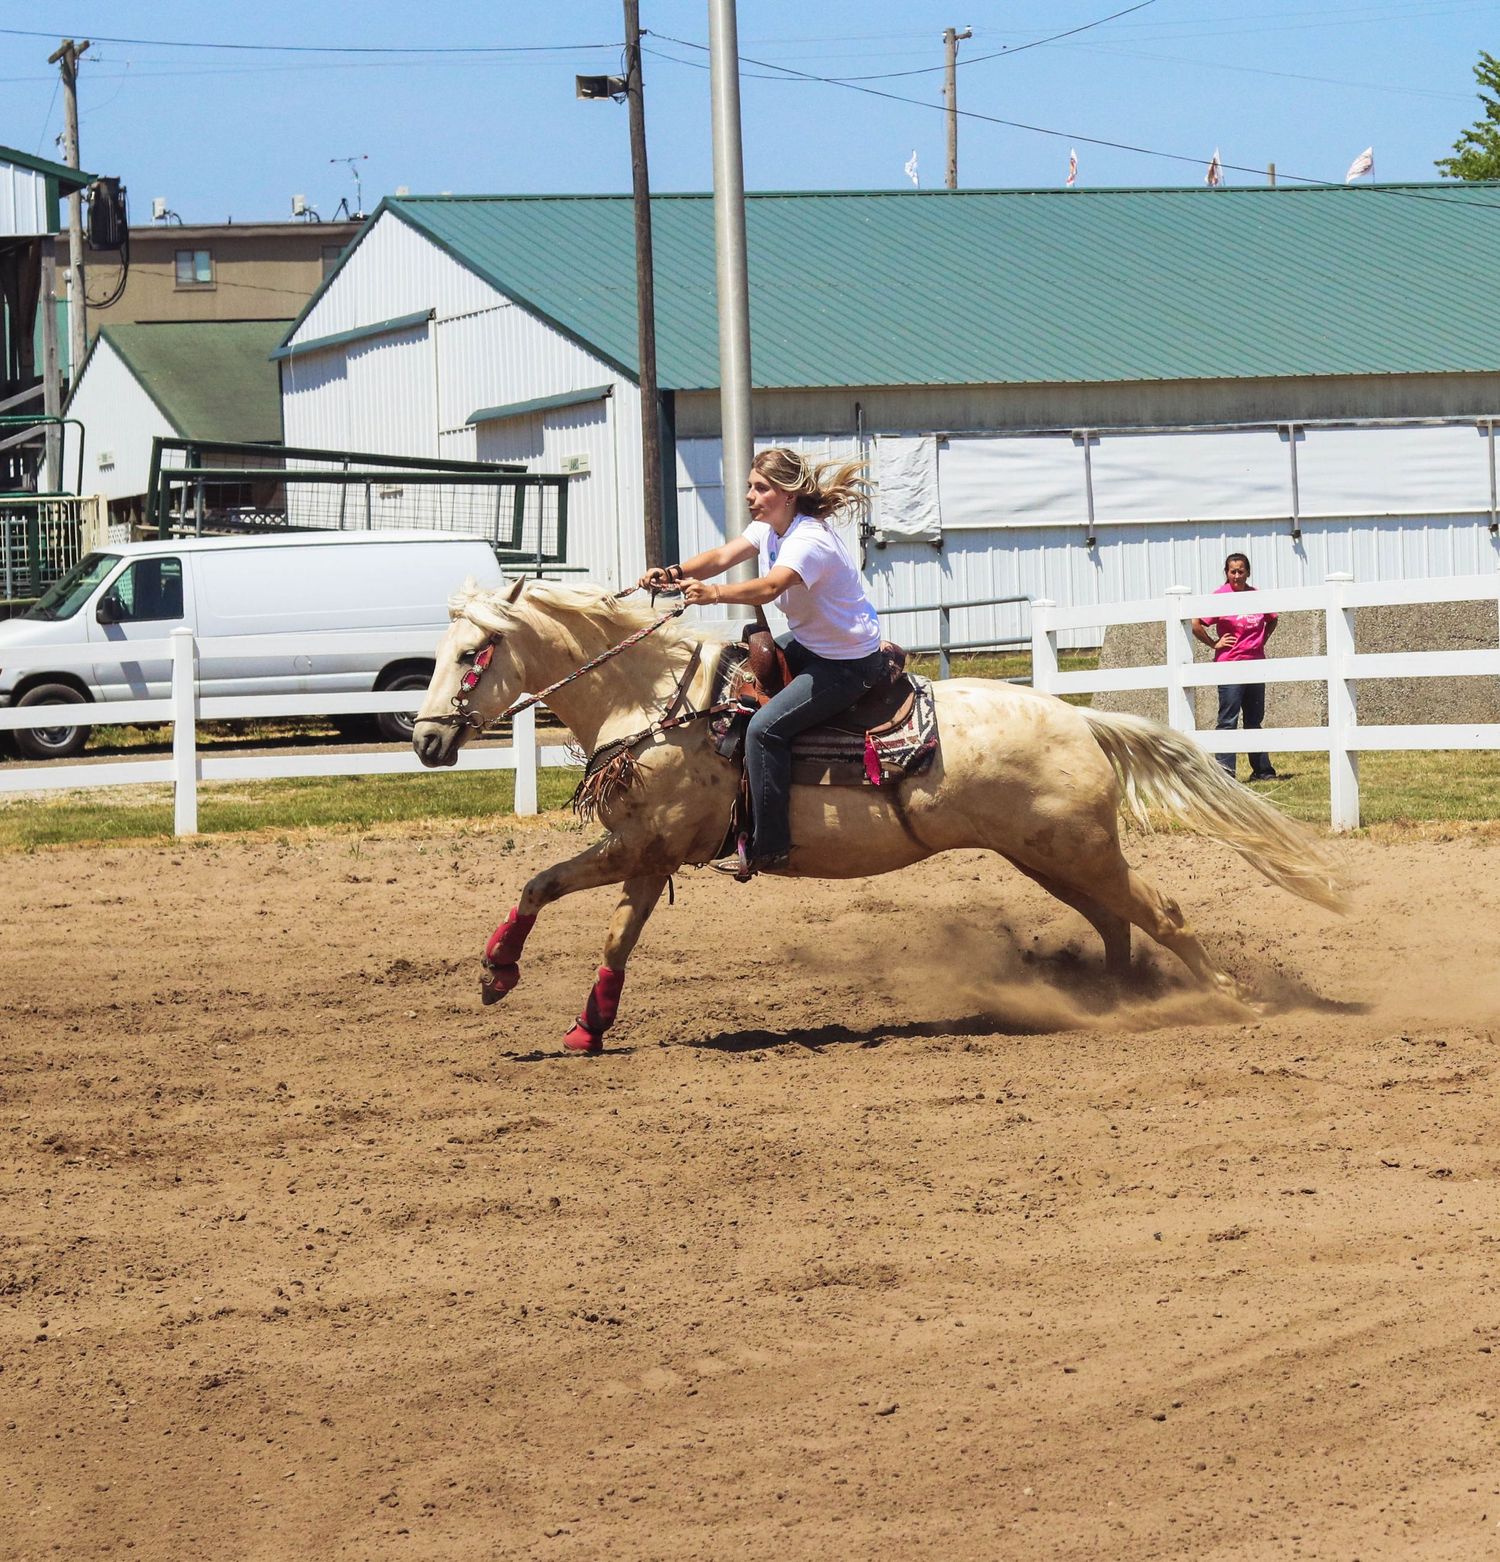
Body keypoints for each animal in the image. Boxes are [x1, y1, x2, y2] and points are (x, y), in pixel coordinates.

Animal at [412, 578, 1347, 1054]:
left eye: (473, 653)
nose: (424, 740)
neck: (657, 700)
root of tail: (1080, 718)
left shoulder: (643, 845)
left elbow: (550, 892)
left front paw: (506, 978)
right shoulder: (649, 853)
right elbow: (599, 929)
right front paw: (573, 1019)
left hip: (1079, 851)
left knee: (1164, 911)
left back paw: (1225, 999)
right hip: (1051, 855)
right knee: (1119, 921)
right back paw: (1115, 999)